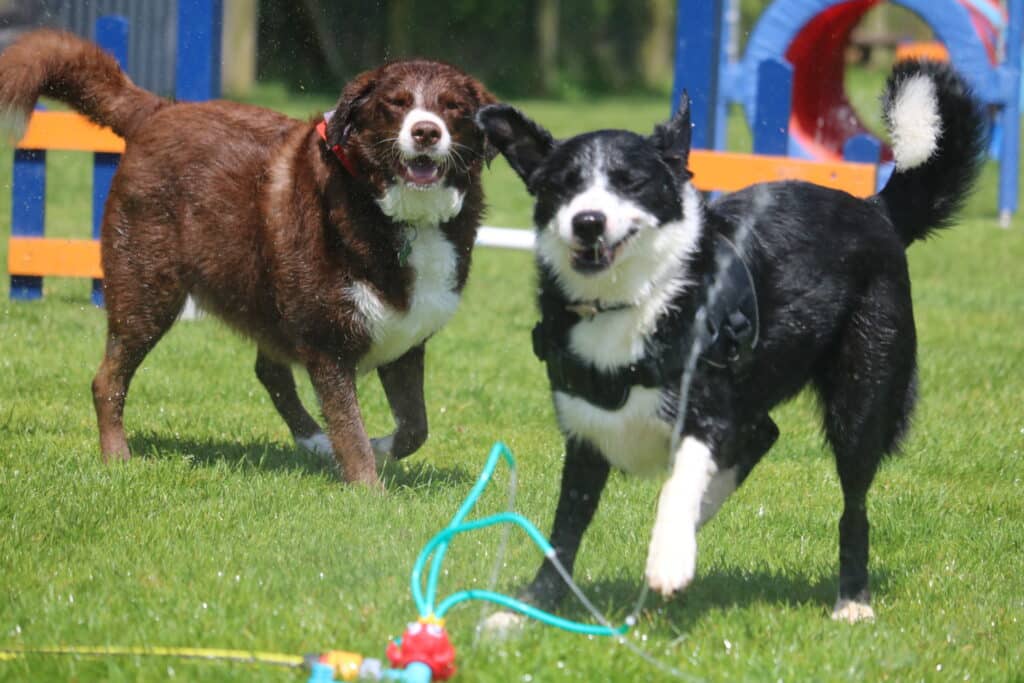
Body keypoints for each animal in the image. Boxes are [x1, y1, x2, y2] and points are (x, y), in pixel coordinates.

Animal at [0, 30, 497, 486]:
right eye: (396, 103)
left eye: (452, 106)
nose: (426, 131)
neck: (397, 213)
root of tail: (159, 111)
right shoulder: (329, 342)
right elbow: (351, 430)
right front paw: (368, 492)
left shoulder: (406, 337)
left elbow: (414, 427)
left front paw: (377, 449)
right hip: (147, 294)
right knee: (108, 380)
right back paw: (117, 457)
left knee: (269, 371)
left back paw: (313, 442)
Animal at [477, 60, 984, 622]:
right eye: (563, 186)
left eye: (630, 183)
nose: (588, 222)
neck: (636, 300)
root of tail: (876, 209)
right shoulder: (586, 435)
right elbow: (563, 532)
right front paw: (526, 609)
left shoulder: (708, 410)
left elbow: (679, 481)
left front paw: (669, 558)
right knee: (763, 433)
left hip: (862, 397)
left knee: (852, 505)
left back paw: (852, 600)